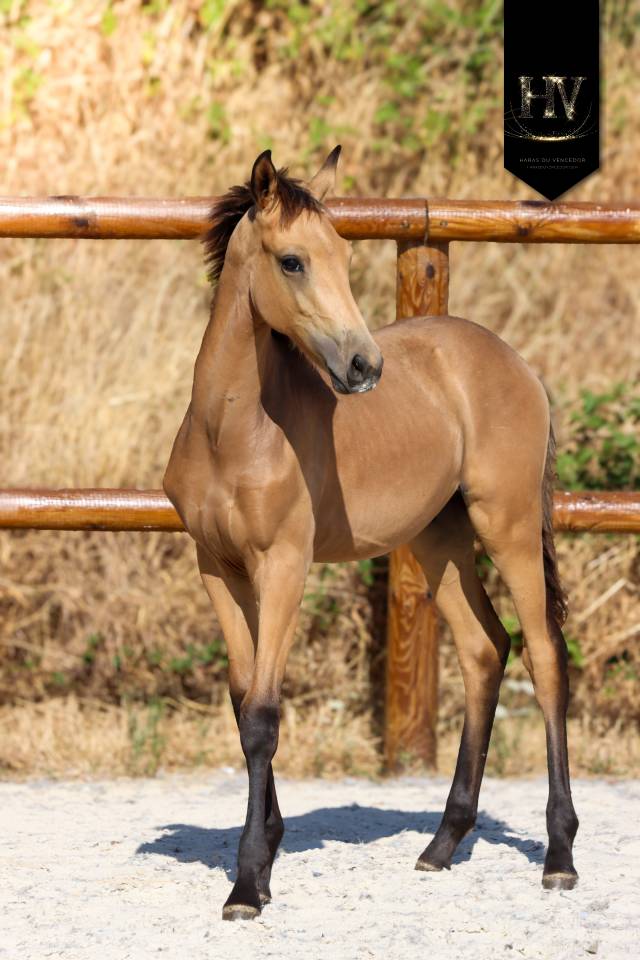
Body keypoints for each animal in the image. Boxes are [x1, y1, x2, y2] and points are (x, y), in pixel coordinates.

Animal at [163, 147, 579, 920]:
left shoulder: (284, 566)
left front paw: (249, 882)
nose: (364, 367)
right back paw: (442, 844)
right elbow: (242, 704)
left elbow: (262, 715)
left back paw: (560, 856)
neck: (233, 431)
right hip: (438, 541)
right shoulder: (217, 568)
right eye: (293, 260)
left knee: (544, 657)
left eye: (346, 254)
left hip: (505, 526)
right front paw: (266, 853)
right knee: (485, 650)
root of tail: (519, 365)